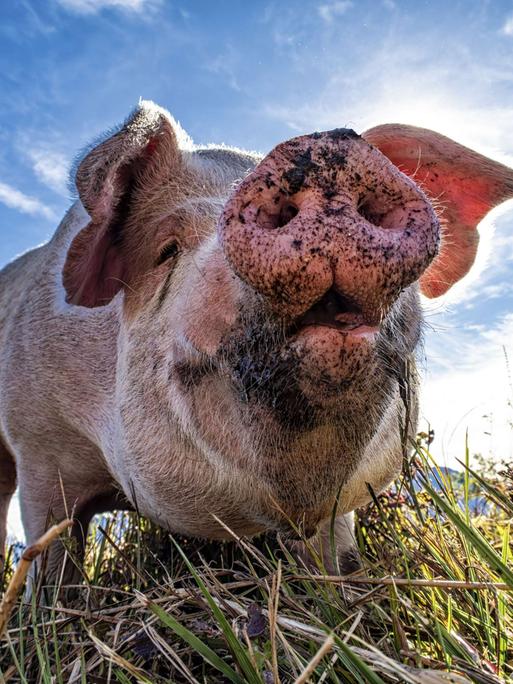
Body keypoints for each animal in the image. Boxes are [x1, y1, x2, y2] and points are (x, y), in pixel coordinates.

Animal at [0, 101, 510, 584]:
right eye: (166, 250)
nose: (323, 146)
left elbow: (336, 557)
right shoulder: (39, 446)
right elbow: (50, 557)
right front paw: (43, 608)